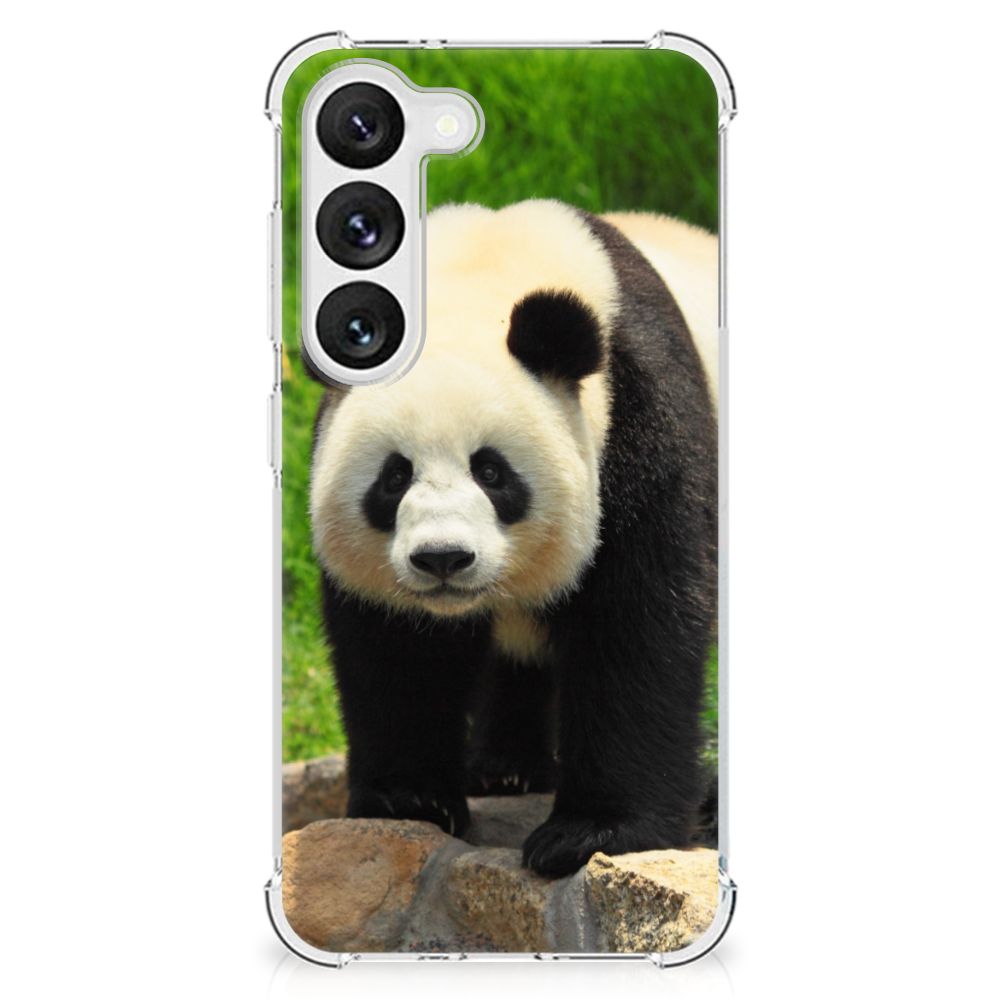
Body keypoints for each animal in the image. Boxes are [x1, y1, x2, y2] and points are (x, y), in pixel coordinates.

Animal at [310, 199, 718, 878]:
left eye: (492, 471)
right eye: (394, 477)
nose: (443, 559)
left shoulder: (642, 418)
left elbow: (638, 625)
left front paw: (591, 832)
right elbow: (397, 650)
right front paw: (408, 799)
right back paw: (504, 768)